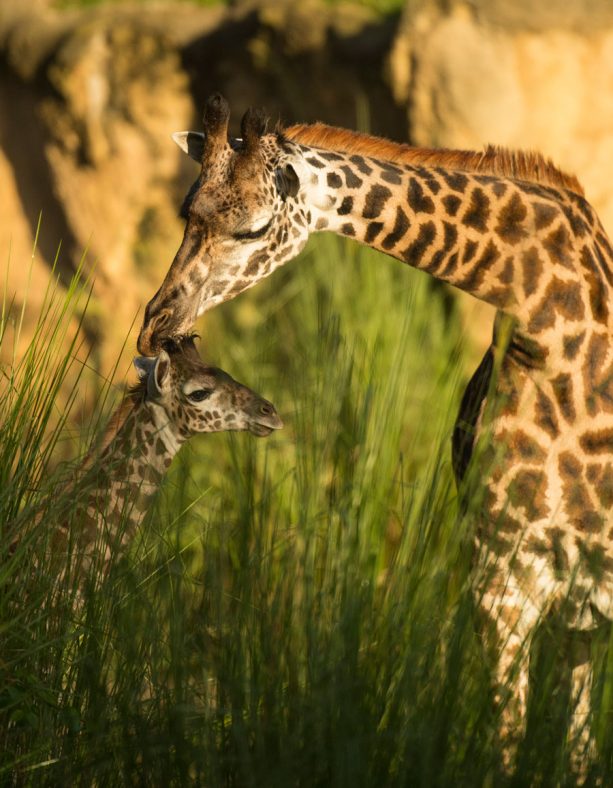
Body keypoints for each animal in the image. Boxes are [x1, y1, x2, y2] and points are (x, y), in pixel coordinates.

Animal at [137, 94, 612, 764]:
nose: (155, 324)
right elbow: (508, 744)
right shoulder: (502, 578)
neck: (548, 324)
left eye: (253, 227)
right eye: (186, 215)